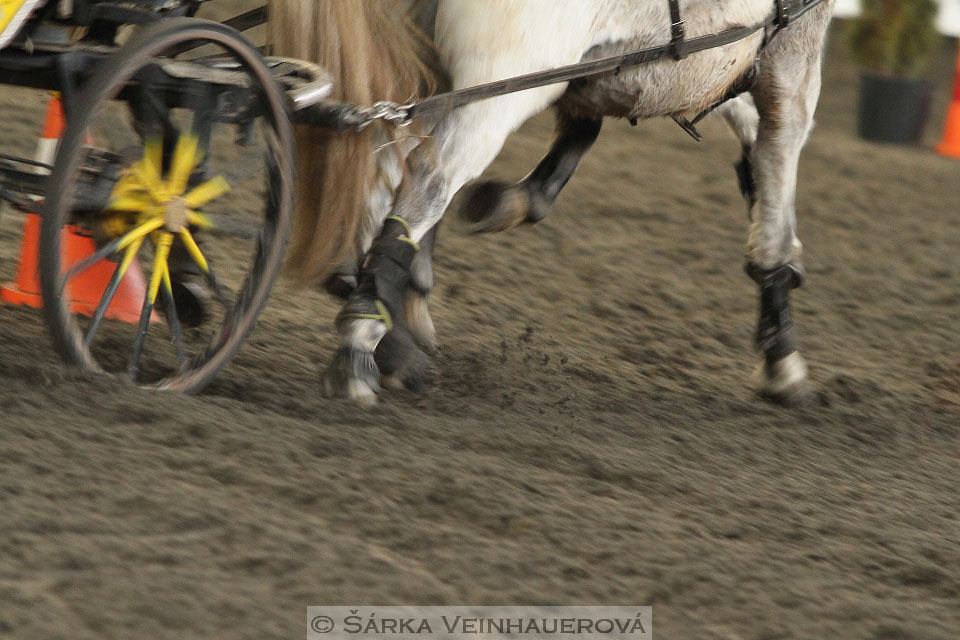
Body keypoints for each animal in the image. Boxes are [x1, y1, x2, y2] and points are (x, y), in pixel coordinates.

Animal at [266, 0, 836, 404]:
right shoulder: (790, 48)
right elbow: (776, 167)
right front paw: (781, 356)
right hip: (501, 88)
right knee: (426, 181)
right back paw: (363, 337)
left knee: (385, 171)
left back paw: (384, 324)